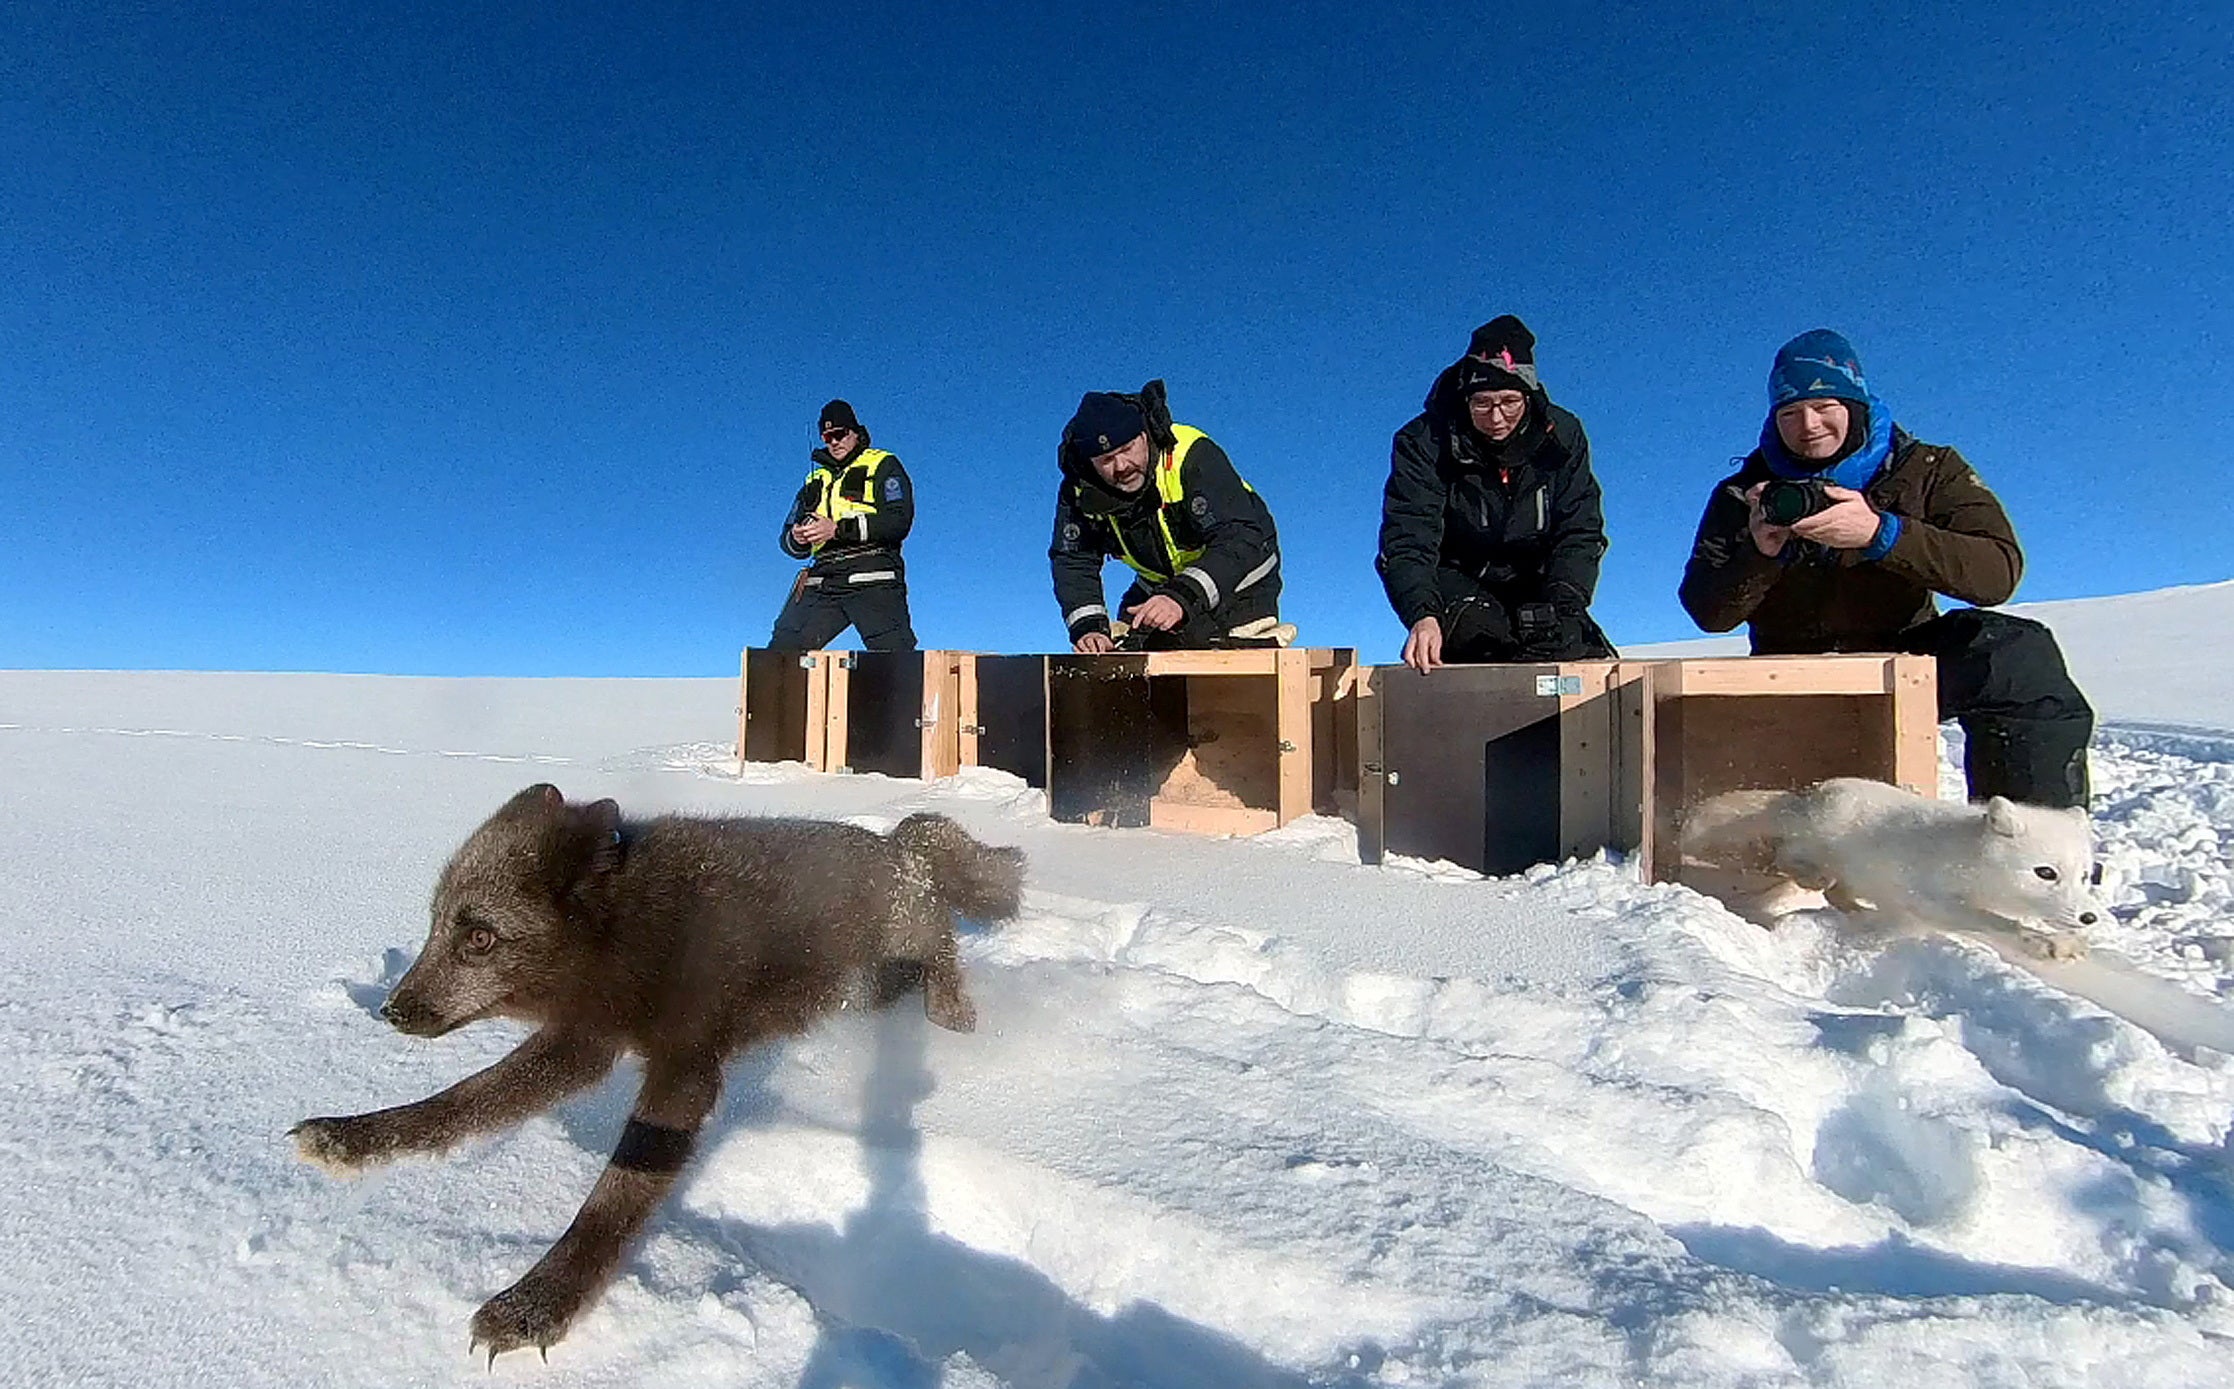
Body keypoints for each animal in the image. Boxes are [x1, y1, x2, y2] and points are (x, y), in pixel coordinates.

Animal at [292, 790, 1023, 1366]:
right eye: (437, 925)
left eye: (480, 939)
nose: (391, 1010)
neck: (627, 931)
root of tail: (899, 847)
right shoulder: (581, 1044)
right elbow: (464, 1099)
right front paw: (352, 1137)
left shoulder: (686, 1071)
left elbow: (615, 1193)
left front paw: (537, 1302)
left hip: (893, 959)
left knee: (942, 957)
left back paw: (953, 1016)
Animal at [1679, 777, 2108, 964]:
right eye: (2046, 873)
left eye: (2086, 876)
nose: (2090, 917)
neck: (1968, 857)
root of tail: (1805, 796)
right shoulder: (1932, 901)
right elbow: (1998, 923)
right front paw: (2043, 943)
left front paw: (2063, 941)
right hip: (1814, 849)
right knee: (1790, 861)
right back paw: (1816, 878)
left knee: (1837, 894)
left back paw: (1862, 914)